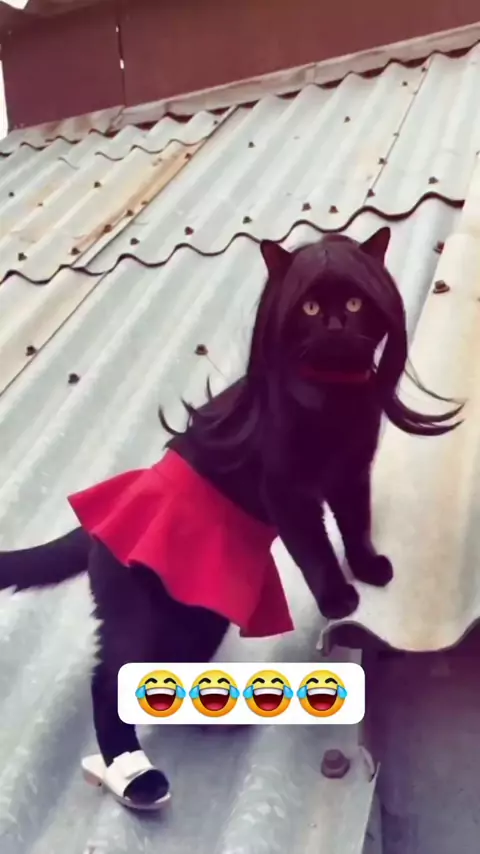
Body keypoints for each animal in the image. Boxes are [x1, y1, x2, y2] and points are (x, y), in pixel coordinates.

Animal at [0, 227, 462, 810]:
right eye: (311, 307)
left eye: (356, 303)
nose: (336, 324)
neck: (335, 399)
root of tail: (99, 524)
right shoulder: (287, 492)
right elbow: (315, 548)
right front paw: (339, 598)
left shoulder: (353, 472)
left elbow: (355, 524)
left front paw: (369, 567)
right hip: (134, 611)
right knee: (108, 679)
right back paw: (138, 778)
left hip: (196, 614)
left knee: (166, 665)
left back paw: (211, 719)